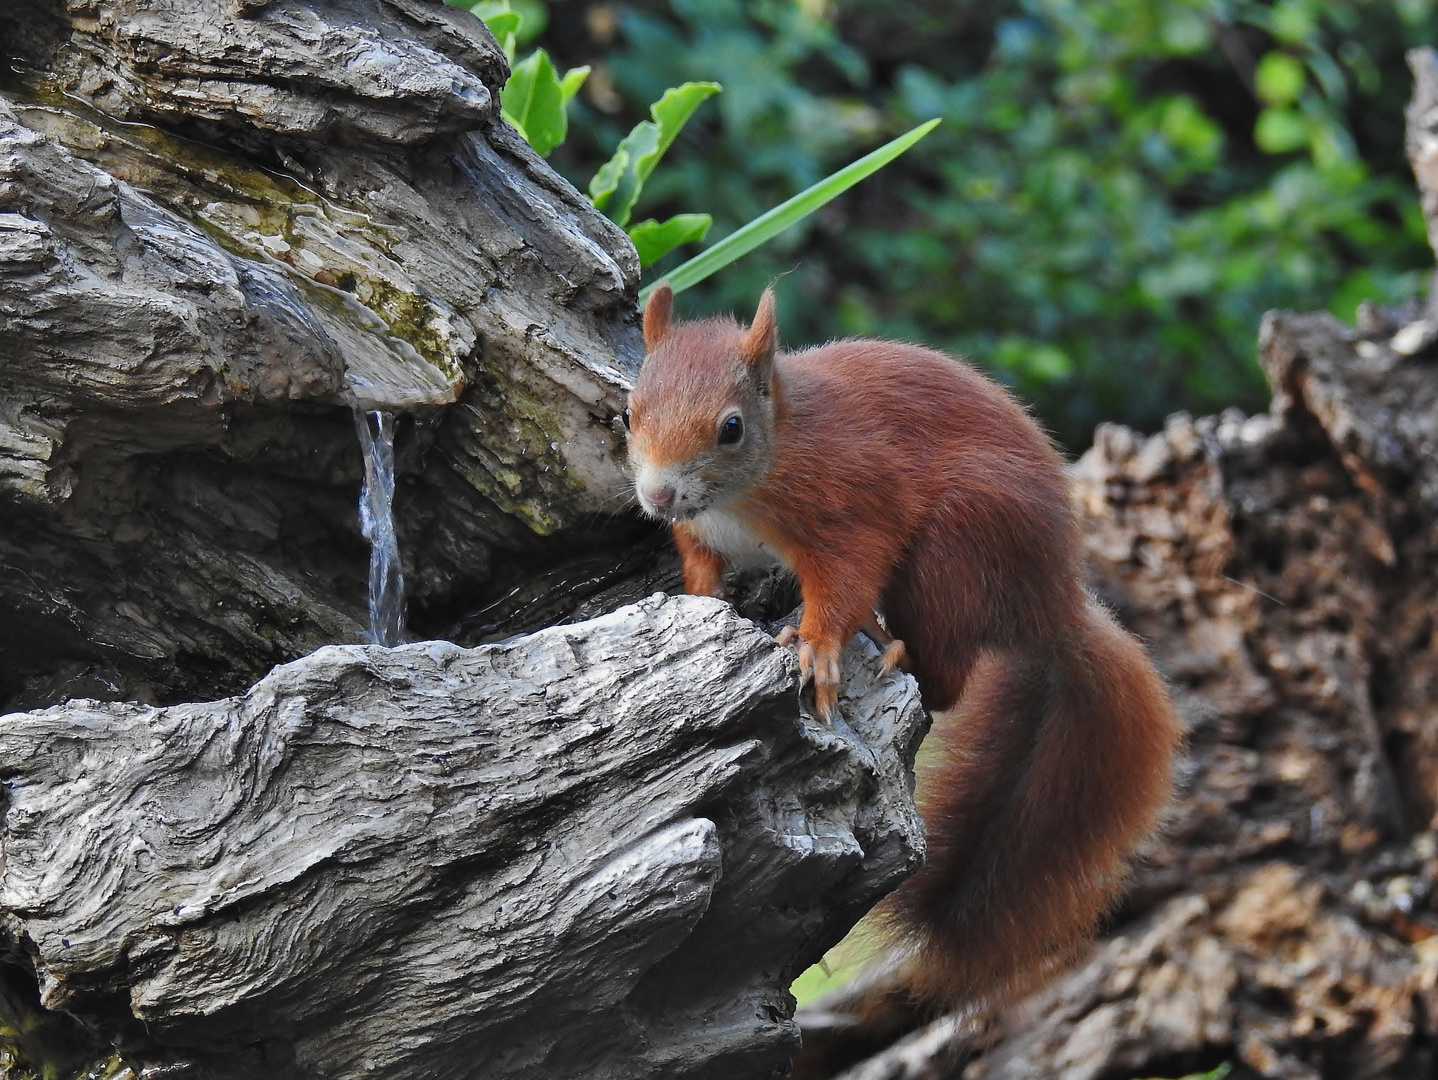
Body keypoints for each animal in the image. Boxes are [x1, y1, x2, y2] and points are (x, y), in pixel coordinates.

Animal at [626, 284, 1179, 1006]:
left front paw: (817, 648)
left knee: (946, 679)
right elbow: (701, 573)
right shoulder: (700, 536)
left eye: (731, 428)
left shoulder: (852, 503)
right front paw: (701, 606)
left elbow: (845, 579)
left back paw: (891, 645)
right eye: (629, 412)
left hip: (955, 546)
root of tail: (1051, 604)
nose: (659, 495)